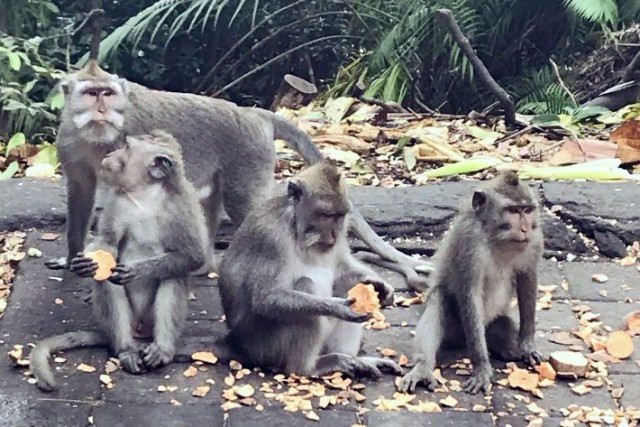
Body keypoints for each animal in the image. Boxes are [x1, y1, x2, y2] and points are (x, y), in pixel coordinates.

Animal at [31, 131, 207, 391]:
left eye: (127, 148)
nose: (111, 154)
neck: (145, 195)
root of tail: (140, 332)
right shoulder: (117, 202)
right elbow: (109, 244)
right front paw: (84, 263)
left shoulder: (182, 205)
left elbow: (192, 255)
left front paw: (139, 270)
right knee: (106, 279)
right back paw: (126, 349)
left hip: (150, 321)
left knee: (174, 274)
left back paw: (162, 350)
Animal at [43, 57, 432, 289]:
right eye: (91, 94)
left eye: (107, 93)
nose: (102, 109)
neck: (98, 136)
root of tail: (253, 114)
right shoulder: (70, 141)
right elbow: (80, 191)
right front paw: (73, 258)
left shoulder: (133, 137)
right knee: (207, 200)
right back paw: (200, 265)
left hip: (249, 156)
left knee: (243, 204)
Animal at [217, 161, 403, 379]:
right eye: (326, 215)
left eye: (340, 216)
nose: (333, 235)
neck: (296, 228)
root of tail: (239, 346)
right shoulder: (270, 239)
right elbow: (266, 299)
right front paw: (338, 308)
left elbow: (341, 270)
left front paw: (378, 285)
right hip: (266, 348)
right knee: (305, 288)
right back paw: (311, 367)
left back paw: (355, 360)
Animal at [396, 170, 544, 395]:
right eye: (512, 211)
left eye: (527, 210)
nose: (525, 229)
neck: (497, 239)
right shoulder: (468, 243)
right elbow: (470, 294)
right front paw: (482, 367)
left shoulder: (534, 241)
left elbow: (527, 282)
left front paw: (527, 345)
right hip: (454, 329)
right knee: (439, 302)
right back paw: (423, 367)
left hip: (491, 326)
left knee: (503, 333)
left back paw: (511, 350)